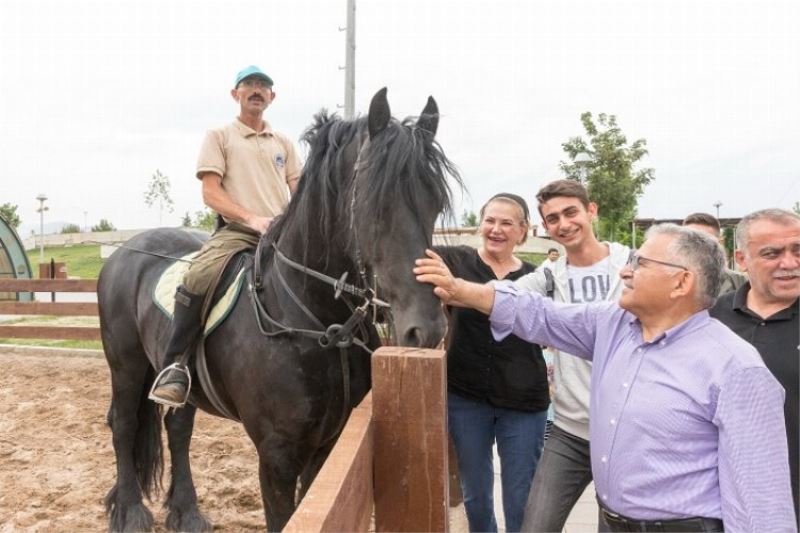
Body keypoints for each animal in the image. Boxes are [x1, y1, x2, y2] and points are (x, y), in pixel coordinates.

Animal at [98, 88, 462, 532]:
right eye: (375, 204)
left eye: (435, 203)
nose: (426, 330)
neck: (317, 322)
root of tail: (127, 250)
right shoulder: (277, 456)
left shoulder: (328, 446)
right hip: (127, 364)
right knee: (124, 425)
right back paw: (131, 512)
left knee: (178, 427)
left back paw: (187, 512)